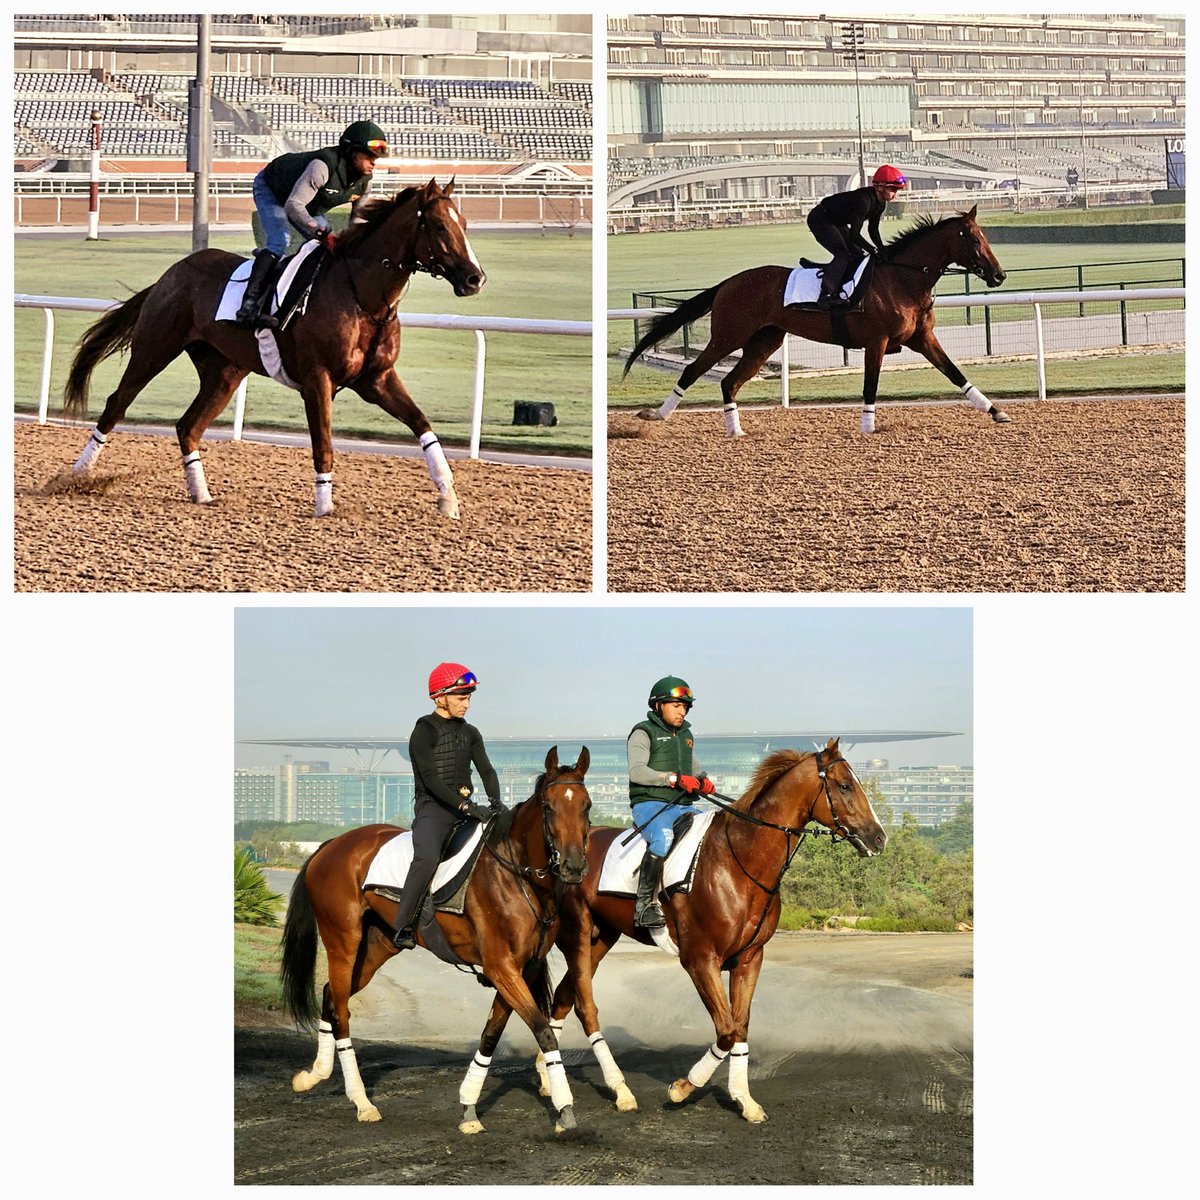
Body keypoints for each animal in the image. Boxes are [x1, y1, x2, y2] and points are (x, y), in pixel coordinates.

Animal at [60, 180, 482, 518]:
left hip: (224, 373)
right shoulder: (318, 379)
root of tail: (171, 274)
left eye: (464, 223)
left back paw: (201, 494)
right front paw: (325, 506)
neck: (362, 297)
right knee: (117, 404)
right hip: (154, 349)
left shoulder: (376, 379)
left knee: (188, 426)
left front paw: (448, 497)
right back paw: (76, 476)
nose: (475, 278)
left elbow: (423, 425)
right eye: (440, 226)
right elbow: (324, 443)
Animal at [282, 744, 600, 1128]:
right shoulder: (501, 968)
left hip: (376, 947)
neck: (517, 875)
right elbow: (543, 1031)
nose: (573, 867)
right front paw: (565, 1108)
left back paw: (314, 1074)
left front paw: (469, 1107)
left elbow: (491, 1034)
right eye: (548, 807)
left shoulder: (521, 969)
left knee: (331, 995)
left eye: (586, 805)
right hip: (343, 941)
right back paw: (361, 1101)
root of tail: (330, 845)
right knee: (341, 1012)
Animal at [530, 739, 888, 1123]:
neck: (739, 861)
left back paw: (547, 1077)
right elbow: (727, 1030)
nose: (878, 837)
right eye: (845, 785)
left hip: (602, 939)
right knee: (585, 1007)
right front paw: (683, 1087)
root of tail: (561, 857)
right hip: (579, 938)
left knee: (563, 998)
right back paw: (617, 1089)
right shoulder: (700, 960)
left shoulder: (750, 958)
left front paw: (744, 1099)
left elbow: (740, 1026)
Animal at [628, 206, 1012, 436]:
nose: (999, 275)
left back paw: (735, 430)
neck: (902, 279)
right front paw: (867, 426)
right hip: (729, 336)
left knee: (729, 382)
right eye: (975, 239)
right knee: (693, 371)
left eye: (986, 237)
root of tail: (728, 283)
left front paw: (996, 411)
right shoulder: (876, 342)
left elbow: (956, 374)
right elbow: (870, 385)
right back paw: (657, 416)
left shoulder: (923, 339)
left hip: (764, 342)